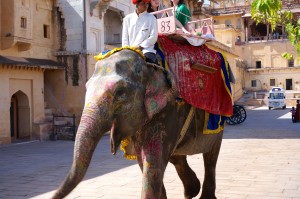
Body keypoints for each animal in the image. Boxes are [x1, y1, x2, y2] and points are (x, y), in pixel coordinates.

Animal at [52, 44, 232, 198]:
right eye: (86, 88)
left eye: (120, 92)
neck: (149, 65)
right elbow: (144, 160)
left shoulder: (169, 109)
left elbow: (152, 162)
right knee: (177, 156)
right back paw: (191, 191)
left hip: (218, 126)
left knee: (210, 157)